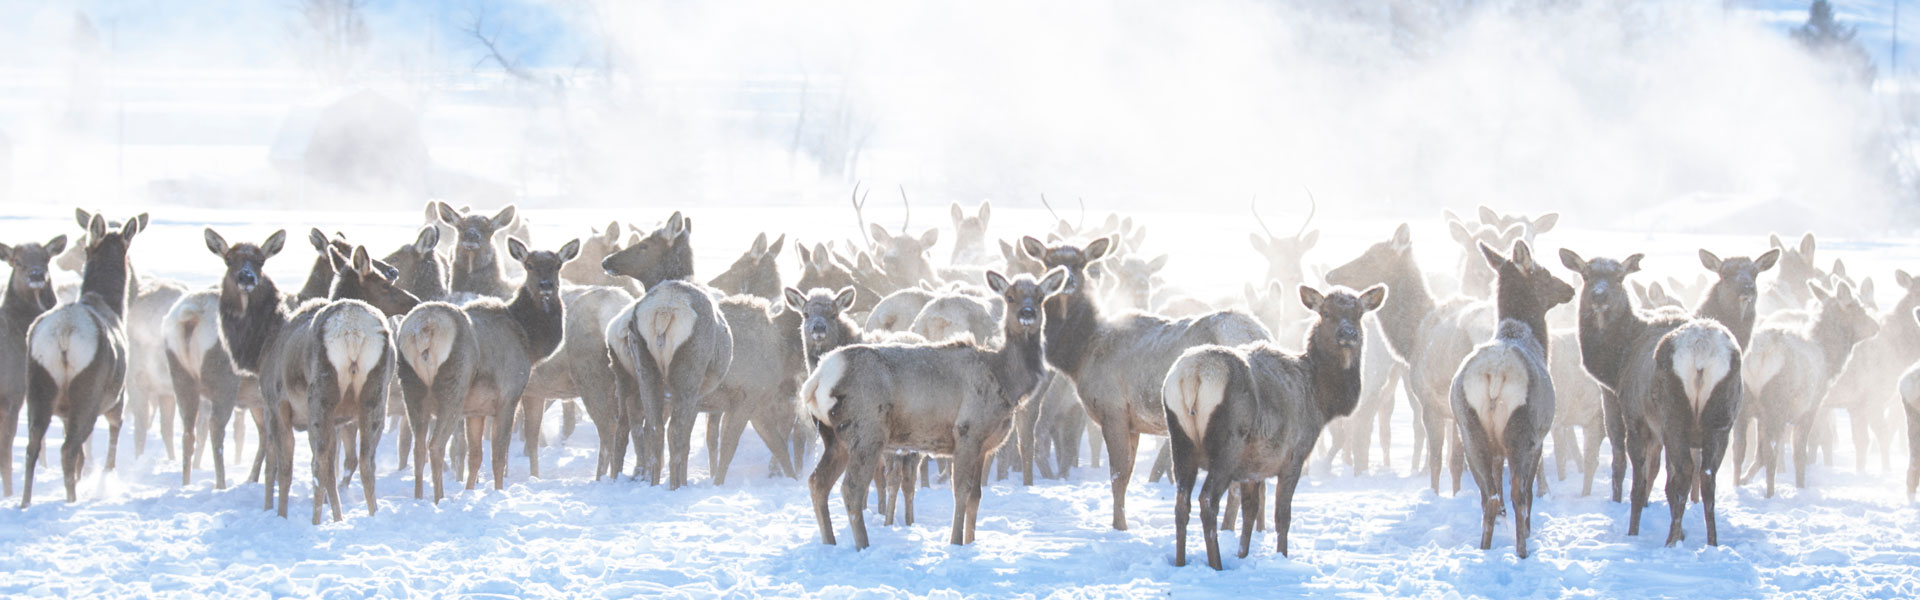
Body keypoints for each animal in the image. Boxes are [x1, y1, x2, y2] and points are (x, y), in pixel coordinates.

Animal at [22, 213, 144, 503]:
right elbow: (114, 434)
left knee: (33, 447)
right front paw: (106, 481)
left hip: (38, 385)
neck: (112, 306)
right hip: (88, 392)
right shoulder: (117, 399)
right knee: (68, 449)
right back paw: (71, 499)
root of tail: (64, 336)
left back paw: (25, 502)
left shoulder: (65, 412)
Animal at [389, 236, 568, 500]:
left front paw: (470, 490)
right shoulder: (509, 395)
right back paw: (439, 498)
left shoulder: (476, 409)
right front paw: (498, 491)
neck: (529, 340)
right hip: (453, 386)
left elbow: (475, 456)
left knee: (418, 447)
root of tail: (424, 330)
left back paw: (419, 497)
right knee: (436, 445)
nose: (546, 286)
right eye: (529, 265)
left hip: (412, 388)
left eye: (557, 265)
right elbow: (498, 456)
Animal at [1021, 234, 1274, 530]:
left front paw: (1119, 526)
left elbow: (1118, 475)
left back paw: (1227, 529)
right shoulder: (1133, 421)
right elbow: (1127, 474)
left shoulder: (1113, 408)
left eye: (1082, 263)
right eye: (1048, 262)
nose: (1068, 280)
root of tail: (1257, 333)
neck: (1082, 354)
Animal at [1159, 282, 1390, 569]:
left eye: (1358, 313)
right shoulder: (1294, 455)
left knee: (1181, 503)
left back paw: (1180, 562)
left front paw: (1243, 554)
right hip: (1226, 445)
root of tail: (1194, 376)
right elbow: (1282, 516)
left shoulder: (1252, 467)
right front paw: (1282, 555)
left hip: (1179, 440)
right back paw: (1217, 564)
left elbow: (1250, 512)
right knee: (1207, 500)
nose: (1348, 334)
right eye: (1326, 312)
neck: (1320, 398)